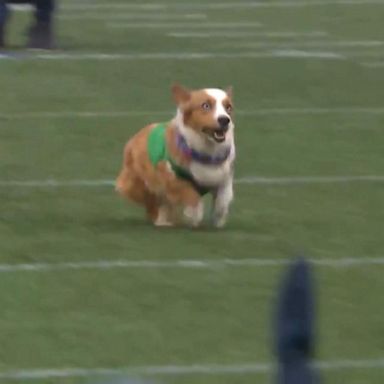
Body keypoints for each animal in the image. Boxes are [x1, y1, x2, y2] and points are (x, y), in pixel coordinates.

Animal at [115, 83, 234, 228]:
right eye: (205, 105)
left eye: (228, 107)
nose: (225, 120)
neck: (206, 151)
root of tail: (133, 138)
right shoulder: (170, 177)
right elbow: (191, 195)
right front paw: (194, 216)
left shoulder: (223, 176)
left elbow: (224, 198)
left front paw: (218, 217)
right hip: (138, 184)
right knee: (152, 201)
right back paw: (161, 220)